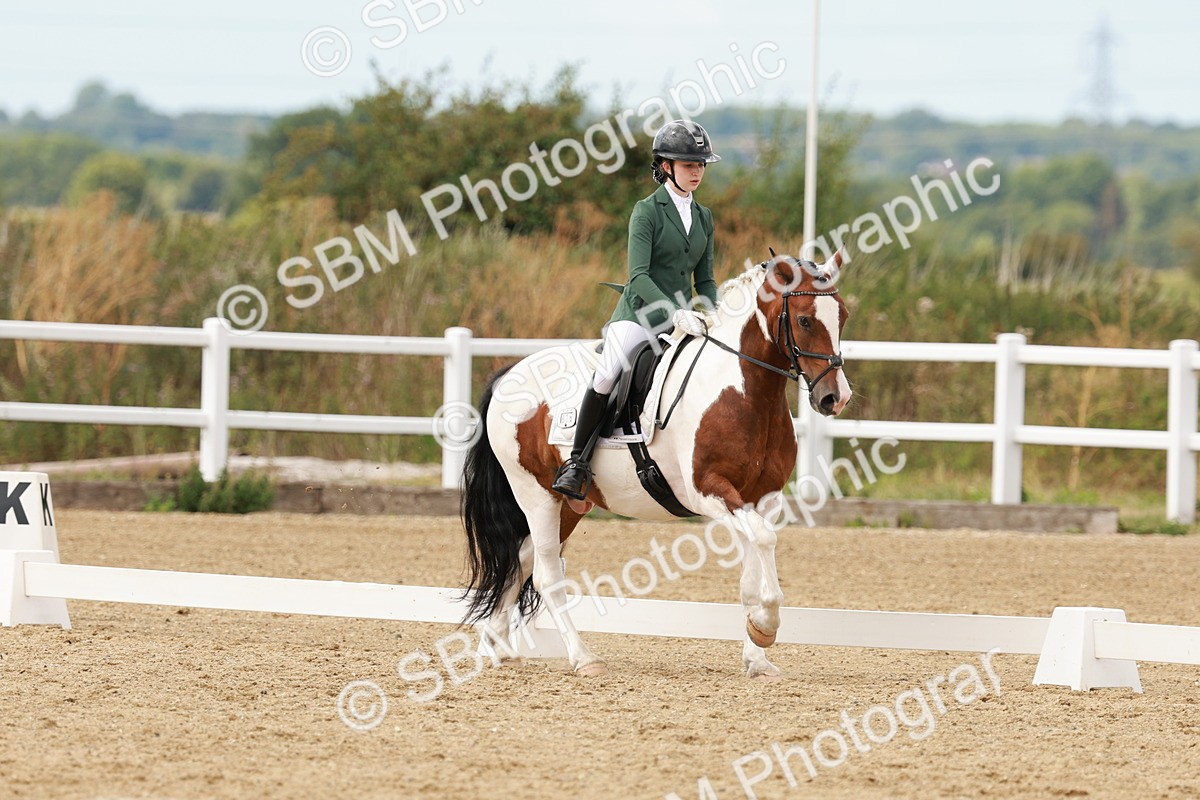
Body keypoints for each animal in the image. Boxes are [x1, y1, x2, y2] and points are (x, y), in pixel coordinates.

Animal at [460, 250, 851, 680]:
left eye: (843, 316)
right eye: (804, 320)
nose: (835, 398)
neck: (748, 392)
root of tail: (508, 374)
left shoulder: (762, 499)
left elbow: (752, 571)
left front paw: (757, 656)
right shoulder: (710, 491)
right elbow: (765, 540)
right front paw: (765, 627)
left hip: (570, 503)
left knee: (522, 558)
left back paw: (495, 647)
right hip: (535, 494)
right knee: (546, 574)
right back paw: (583, 658)